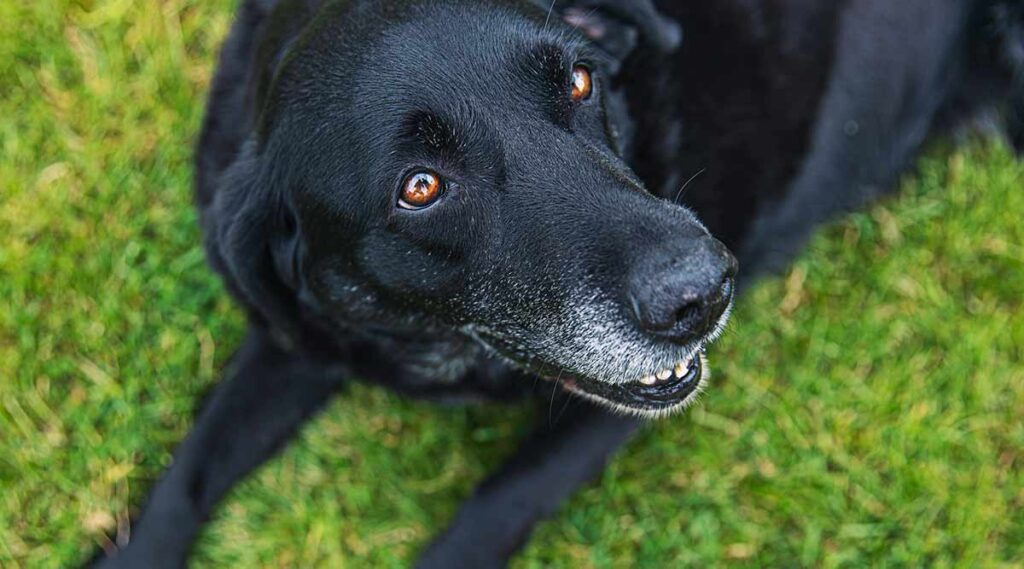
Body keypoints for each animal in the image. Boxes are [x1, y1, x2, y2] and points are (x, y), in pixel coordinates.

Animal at [94, 0, 1015, 564]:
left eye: (579, 80)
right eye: (419, 187)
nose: (705, 292)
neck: (441, 341)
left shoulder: (598, 422)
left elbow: (486, 514)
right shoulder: (302, 336)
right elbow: (187, 472)